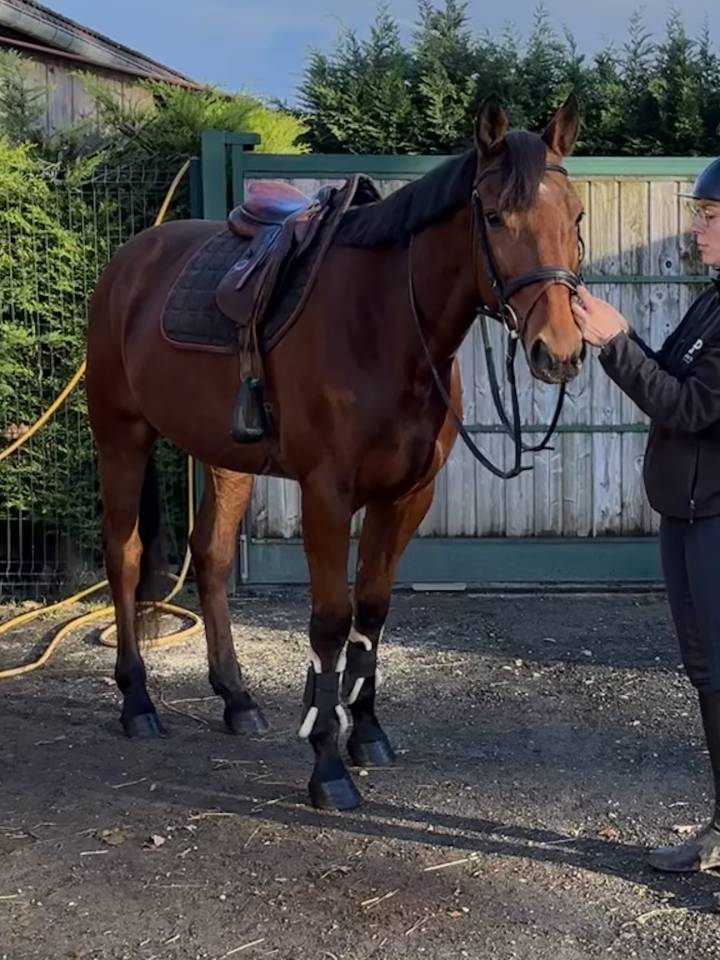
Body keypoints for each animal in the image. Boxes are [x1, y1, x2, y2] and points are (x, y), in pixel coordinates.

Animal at [85, 96, 585, 810]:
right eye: (493, 215)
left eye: (575, 217)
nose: (559, 351)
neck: (385, 324)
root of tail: (130, 260)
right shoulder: (326, 494)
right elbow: (328, 620)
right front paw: (327, 767)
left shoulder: (406, 497)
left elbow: (372, 612)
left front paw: (366, 733)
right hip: (119, 436)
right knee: (124, 558)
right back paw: (138, 704)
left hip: (225, 458)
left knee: (210, 557)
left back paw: (237, 699)